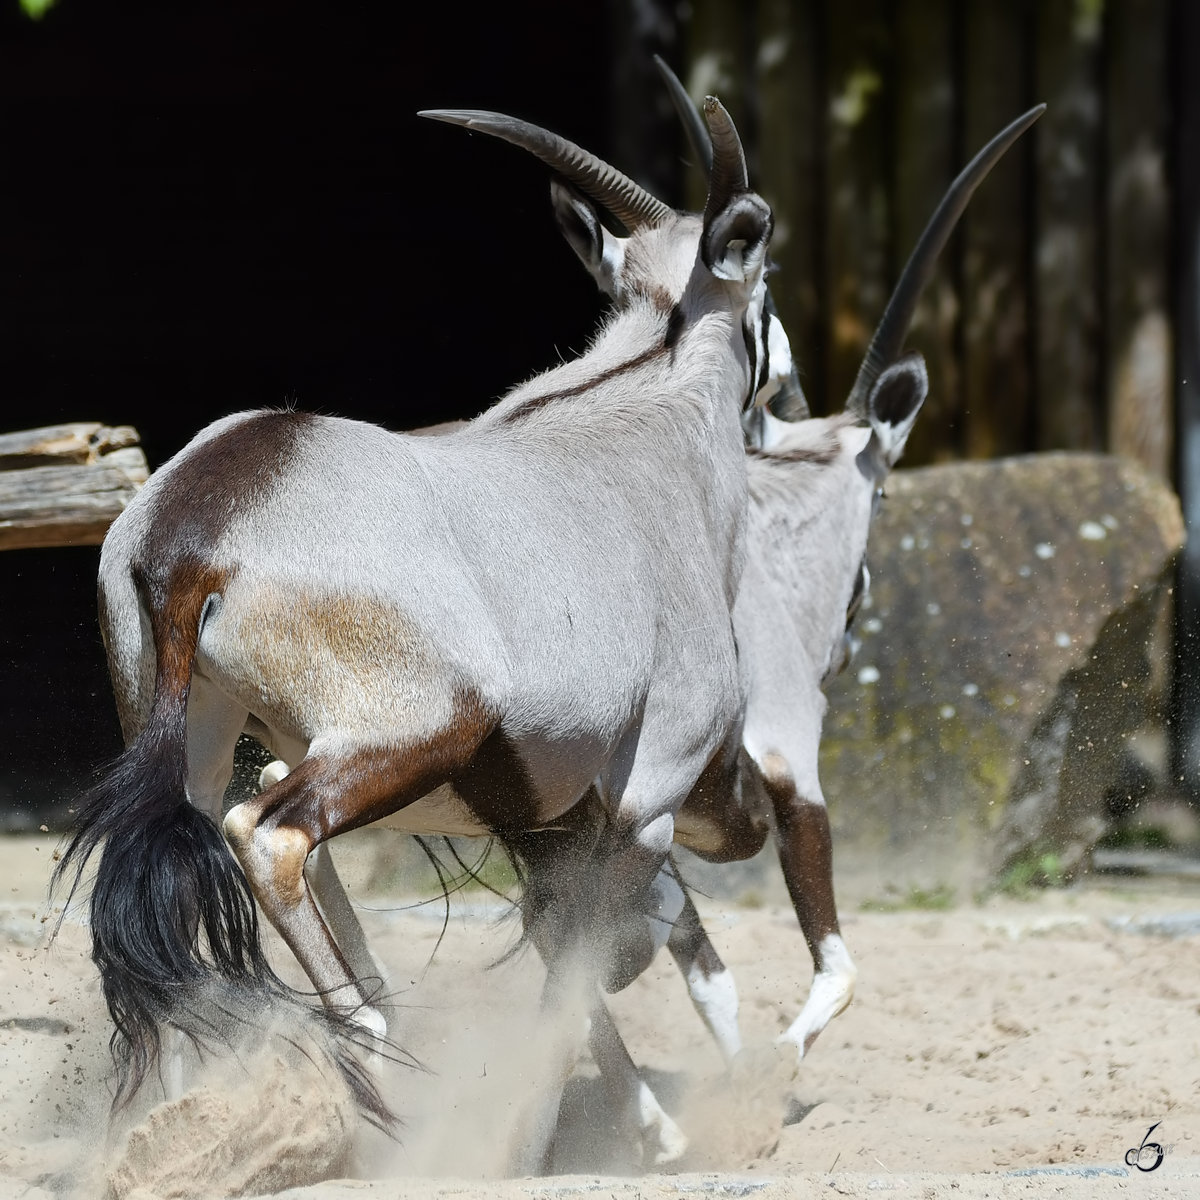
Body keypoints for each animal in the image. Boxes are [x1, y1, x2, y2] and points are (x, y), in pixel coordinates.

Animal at [56, 93, 782, 1152]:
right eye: (766, 285)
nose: (787, 392)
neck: (643, 419)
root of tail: (202, 514)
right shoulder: (642, 801)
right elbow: (573, 970)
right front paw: (546, 1136)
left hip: (206, 735)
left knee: (187, 859)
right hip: (410, 736)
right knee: (269, 837)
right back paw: (369, 1060)